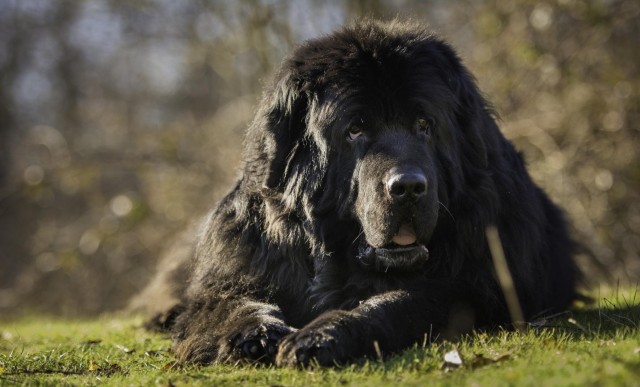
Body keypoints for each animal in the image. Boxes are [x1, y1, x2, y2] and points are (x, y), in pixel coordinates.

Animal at [151, 20, 580, 366]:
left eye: (425, 124)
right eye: (355, 129)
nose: (407, 186)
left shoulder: (466, 285)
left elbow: (394, 304)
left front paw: (322, 336)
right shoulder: (237, 268)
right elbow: (230, 303)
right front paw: (254, 334)